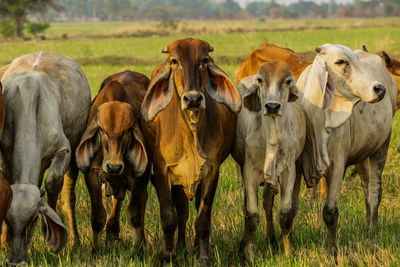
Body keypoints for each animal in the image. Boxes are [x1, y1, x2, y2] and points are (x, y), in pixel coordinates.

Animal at [0, 52, 90, 266]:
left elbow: (52, 184)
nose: (15, 262)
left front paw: (47, 236)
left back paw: (75, 242)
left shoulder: (63, 149)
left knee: (68, 197)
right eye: (7, 219)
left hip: (74, 152)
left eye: (32, 219)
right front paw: (3, 242)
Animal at [75, 70, 150, 258]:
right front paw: (96, 250)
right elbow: (97, 216)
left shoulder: (140, 178)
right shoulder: (93, 176)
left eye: (128, 130)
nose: (114, 167)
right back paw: (111, 232)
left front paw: (137, 251)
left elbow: (135, 215)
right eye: (102, 129)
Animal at [141, 38, 241, 267]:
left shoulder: (212, 171)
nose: (193, 99)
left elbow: (202, 219)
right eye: (174, 61)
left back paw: (193, 246)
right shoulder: (162, 170)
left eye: (204, 60)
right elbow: (169, 217)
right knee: (182, 212)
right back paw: (180, 247)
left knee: (192, 209)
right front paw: (168, 255)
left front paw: (203, 256)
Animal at [231, 61, 306, 264]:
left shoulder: (289, 171)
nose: (272, 106)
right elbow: (252, 216)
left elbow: (286, 214)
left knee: (267, 202)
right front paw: (246, 256)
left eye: (287, 81)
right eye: (260, 80)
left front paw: (289, 251)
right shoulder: (249, 171)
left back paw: (272, 239)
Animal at [296, 44, 396, 258]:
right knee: (366, 186)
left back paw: (372, 229)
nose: (379, 89)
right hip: (362, 153)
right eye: (340, 62)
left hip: (381, 147)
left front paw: (332, 252)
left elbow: (330, 212)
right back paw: (367, 224)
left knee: (374, 190)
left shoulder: (337, 164)